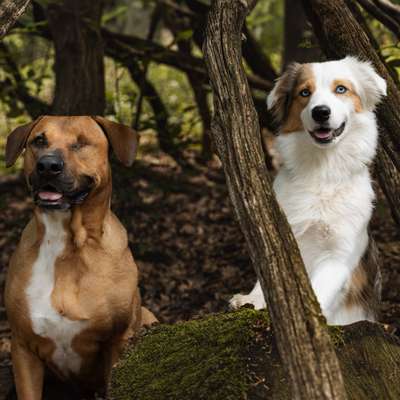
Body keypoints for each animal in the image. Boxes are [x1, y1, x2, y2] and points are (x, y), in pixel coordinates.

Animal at [4, 116, 156, 400]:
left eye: (81, 143)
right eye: (39, 140)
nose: (48, 166)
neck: (65, 243)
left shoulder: (118, 341)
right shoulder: (23, 347)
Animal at [231, 57, 388, 324]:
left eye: (341, 89)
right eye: (304, 92)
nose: (321, 112)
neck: (322, 172)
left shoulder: (338, 254)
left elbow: (318, 289)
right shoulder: (282, 235)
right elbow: (272, 280)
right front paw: (253, 300)